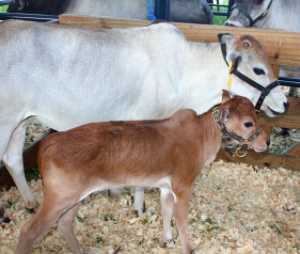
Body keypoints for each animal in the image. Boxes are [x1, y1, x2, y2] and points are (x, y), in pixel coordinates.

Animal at [0, 20, 288, 220]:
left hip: (21, 120)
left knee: (13, 159)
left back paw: (30, 203)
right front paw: (139, 207)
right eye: (258, 69)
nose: (284, 103)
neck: (186, 73)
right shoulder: (146, 119)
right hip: (5, 121)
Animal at [15, 90, 270, 253]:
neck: (203, 134)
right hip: (59, 197)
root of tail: (51, 141)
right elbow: (181, 220)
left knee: (65, 223)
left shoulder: (166, 186)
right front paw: (187, 248)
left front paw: (167, 241)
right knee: (28, 231)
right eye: (248, 123)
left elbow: (166, 211)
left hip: (72, 197)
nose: (266, 141)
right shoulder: (183, 185)